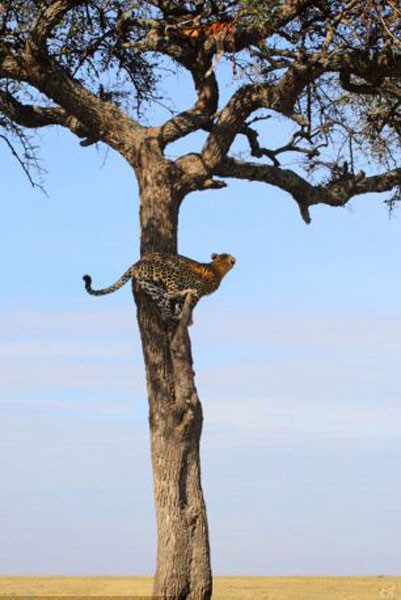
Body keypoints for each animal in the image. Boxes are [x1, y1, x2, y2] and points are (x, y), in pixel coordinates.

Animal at [83, 252, 234, 322]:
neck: (217, 267)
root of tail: (137, 263)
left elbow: (180, 305)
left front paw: (179, 312)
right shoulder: (199, 292)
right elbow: (191, 304)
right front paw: (188, 318)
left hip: (150, 285)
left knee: (165, 303)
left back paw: (171, 315)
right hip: (171, 272)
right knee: (172, 293)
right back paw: (184, 296)